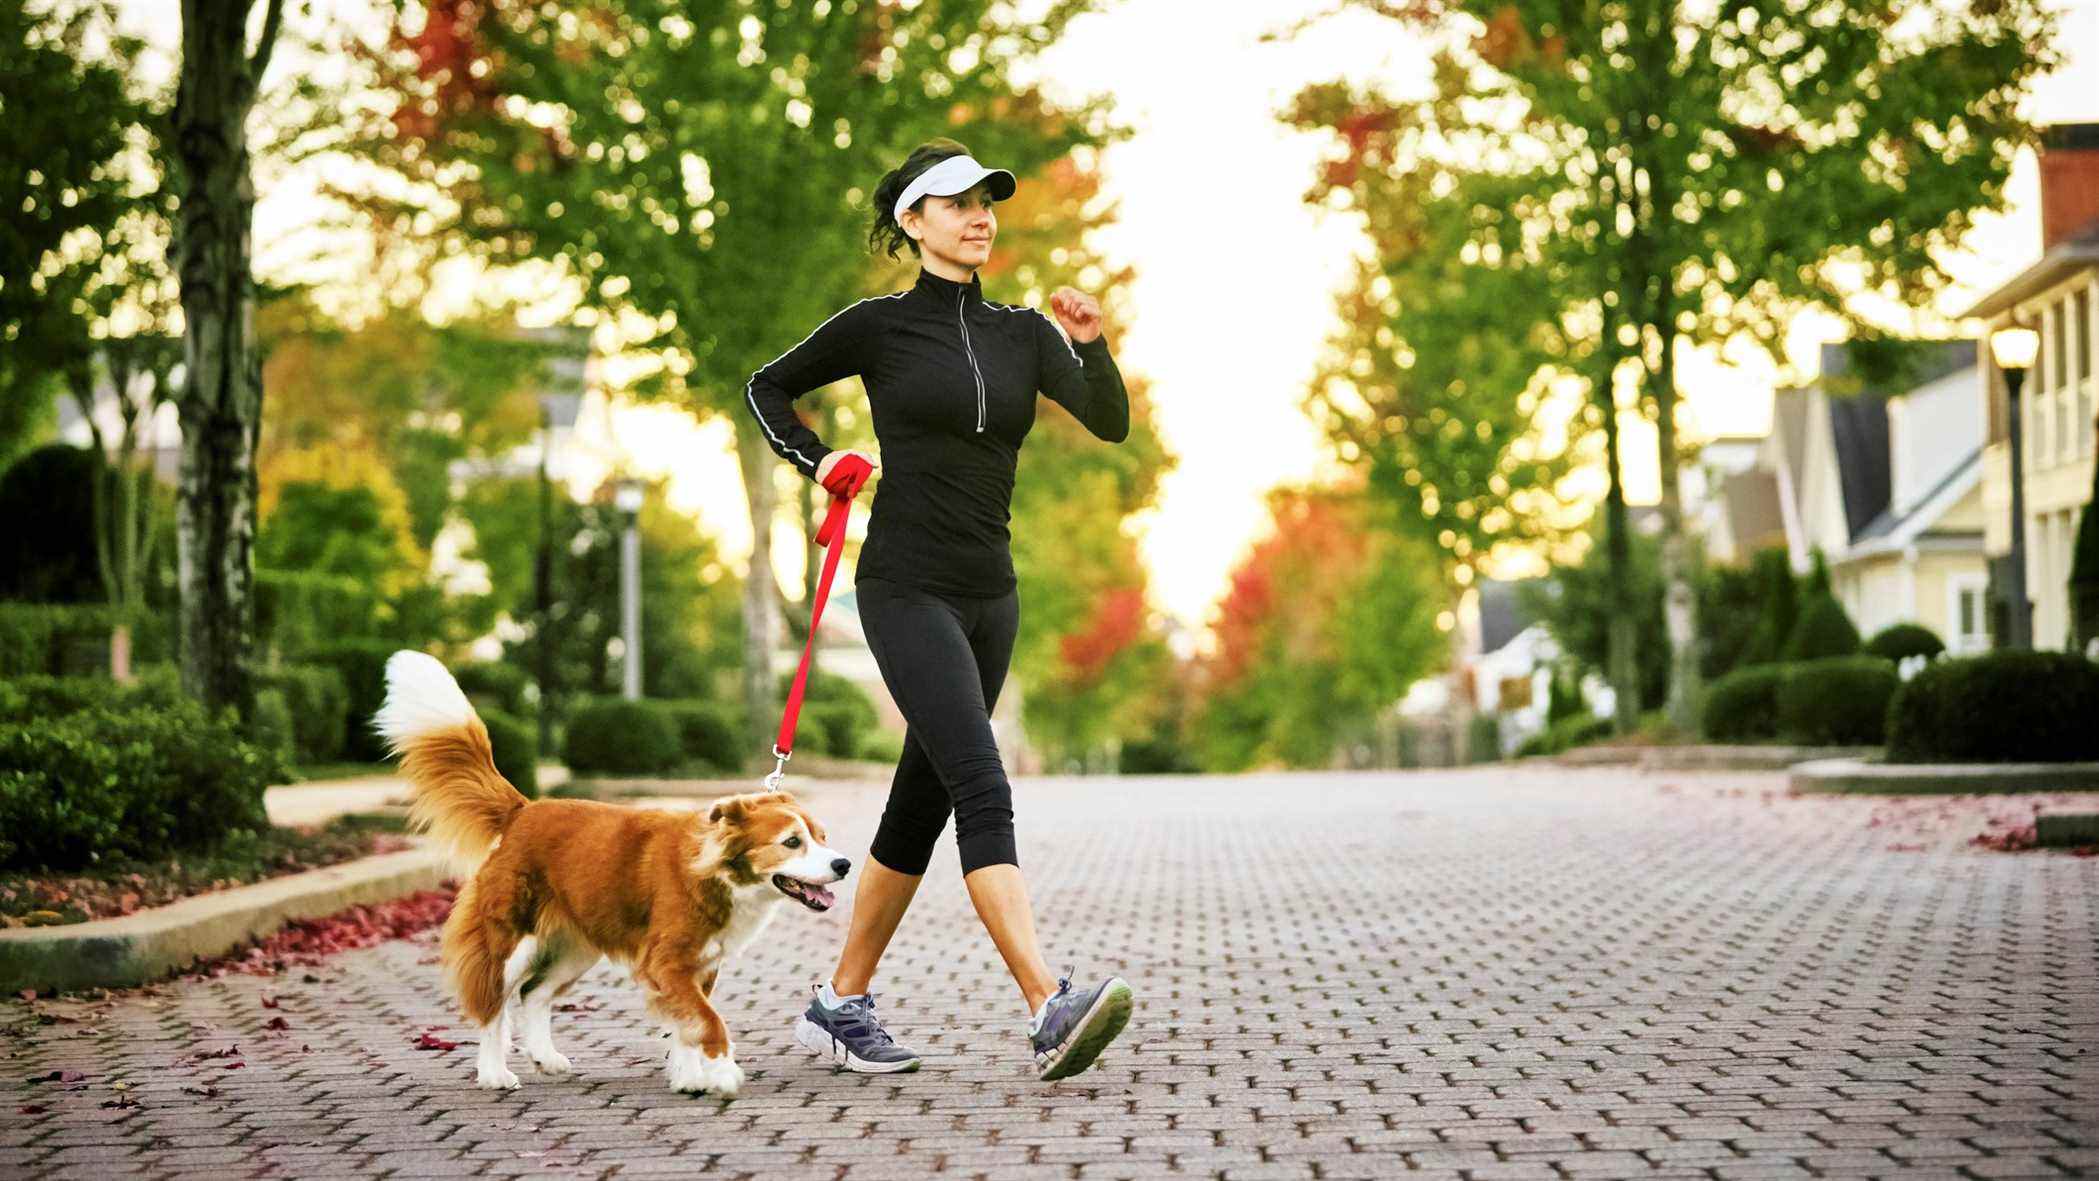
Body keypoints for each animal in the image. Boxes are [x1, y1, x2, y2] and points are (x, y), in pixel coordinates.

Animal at [371, 650, 852, 1099]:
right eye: (792, 842)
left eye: (822, 837)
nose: (843, 865)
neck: (718, 874)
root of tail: (523, 810)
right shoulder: (667, 961)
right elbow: (707, 1020)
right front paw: (721, 1072)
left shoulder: (699, 966)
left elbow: (687, 1024)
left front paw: (690, 1078)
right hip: (510, 939)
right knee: (494, 1004)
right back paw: (494, 1073)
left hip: (576, 945)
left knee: (534, 994)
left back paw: (545, 1057)